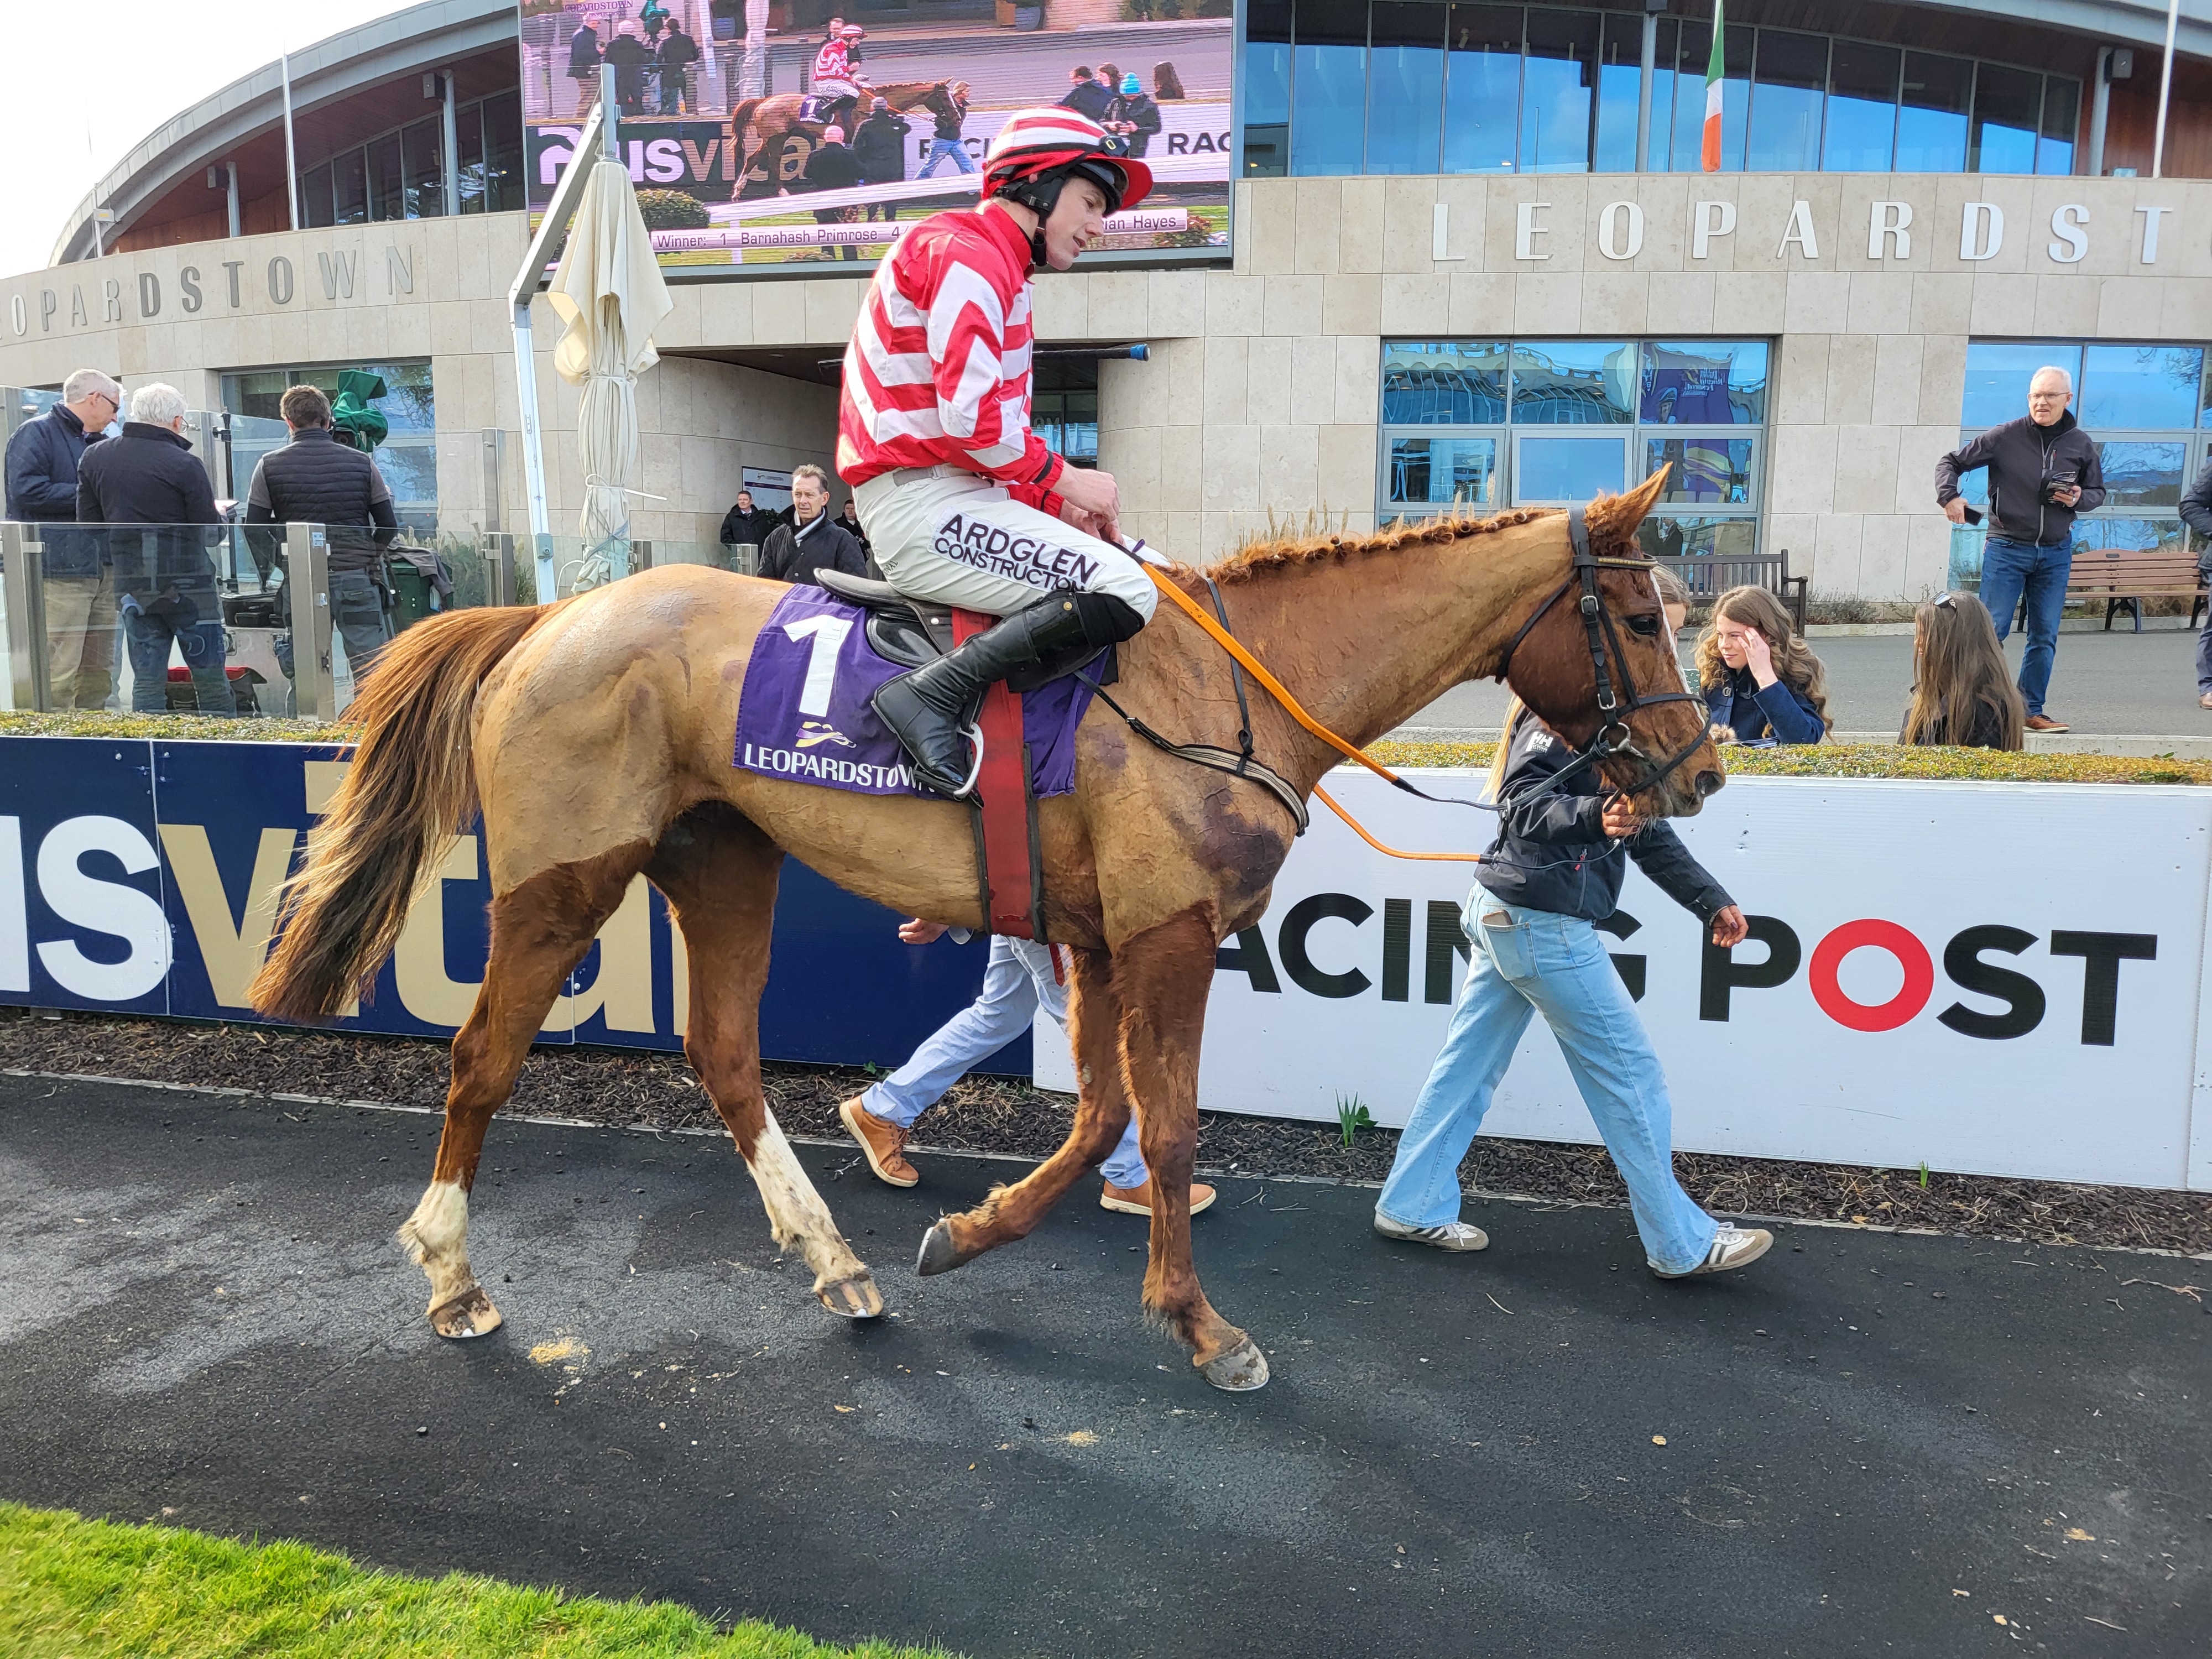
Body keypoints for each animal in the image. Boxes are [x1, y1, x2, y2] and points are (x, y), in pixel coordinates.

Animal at [251, 473, 1717, 1398]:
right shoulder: (1167, 933)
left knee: (724, 1056)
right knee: (481, 1060)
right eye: (1646, 616)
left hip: (722, 861)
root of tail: (547, 616)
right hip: (562, 882)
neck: (1228, 687)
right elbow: (1164, 1127)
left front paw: (971, 1232)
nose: (1697, 772)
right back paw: (449, 1273)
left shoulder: (1100, 937)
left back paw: (836, 1261)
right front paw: (1200, 1327)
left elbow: (1101, 1115)